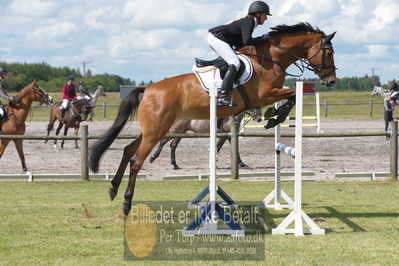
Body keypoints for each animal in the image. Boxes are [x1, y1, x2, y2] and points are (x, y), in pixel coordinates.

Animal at [90, 22, 338, 214]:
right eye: (328, 53)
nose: (331, 81)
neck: (271, 59)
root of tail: (149, 89)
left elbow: (291, 97)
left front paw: (272, 116)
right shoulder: (265, 94)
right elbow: (293, 95)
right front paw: (274, 117)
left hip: (152, 130)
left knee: (127, 150)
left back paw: (113, 188)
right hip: (157, 130)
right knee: (136, 160)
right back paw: (126, 202)